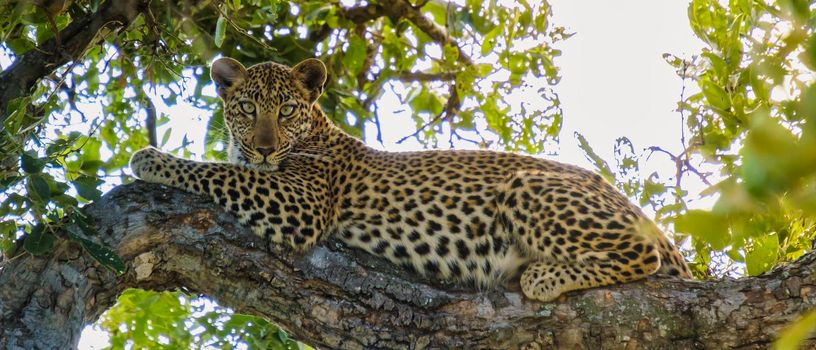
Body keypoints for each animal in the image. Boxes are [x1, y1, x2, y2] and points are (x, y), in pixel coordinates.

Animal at [131, 56, 692, 300]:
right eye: (247, 108)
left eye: (287, 109)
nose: (266, 147)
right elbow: (228, 167)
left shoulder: (302, 201)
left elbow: (218, 171)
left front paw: (151, 159)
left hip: (528, 185)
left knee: (641, 256)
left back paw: (542, 278)